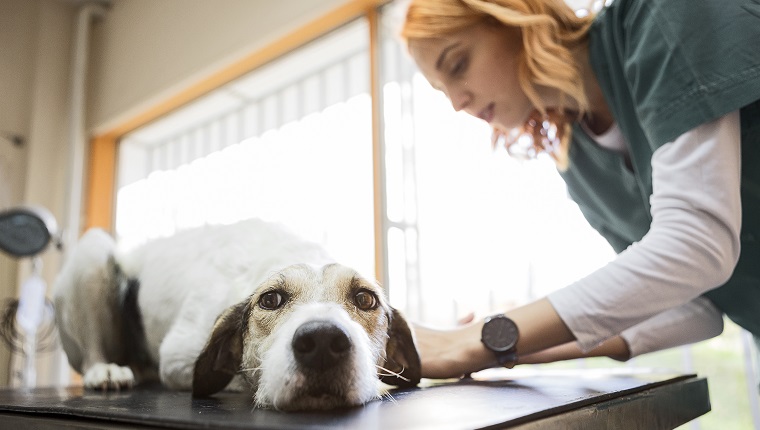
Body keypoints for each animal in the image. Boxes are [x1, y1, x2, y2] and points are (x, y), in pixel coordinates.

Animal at [52, 220, 422, 412]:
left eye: (365, 299)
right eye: (270, 299)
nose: (322, 341)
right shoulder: (175, 359)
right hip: (93, 253)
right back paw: (105, 370)